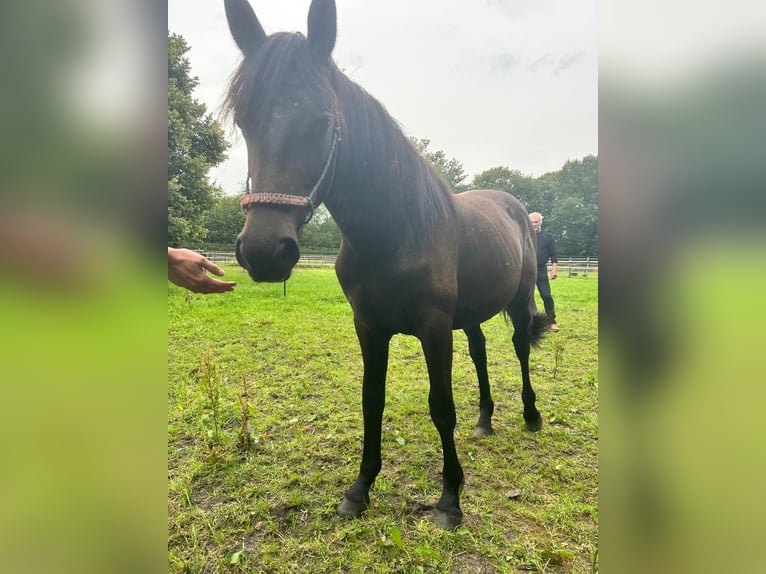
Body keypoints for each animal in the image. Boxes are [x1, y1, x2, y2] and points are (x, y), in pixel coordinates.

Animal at [225, 0, 548, 532]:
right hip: (471, 313)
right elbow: (370, 400)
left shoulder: (434, 328)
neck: (395, 233)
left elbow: (441, 407)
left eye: (322, 122)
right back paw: (485, 420)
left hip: (519, 301)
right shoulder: (369, 328)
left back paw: (530, 416)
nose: (265, 252)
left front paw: (450, 500)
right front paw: (359, 489)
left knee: (521, 347)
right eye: (244, 122)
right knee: (480, 351)